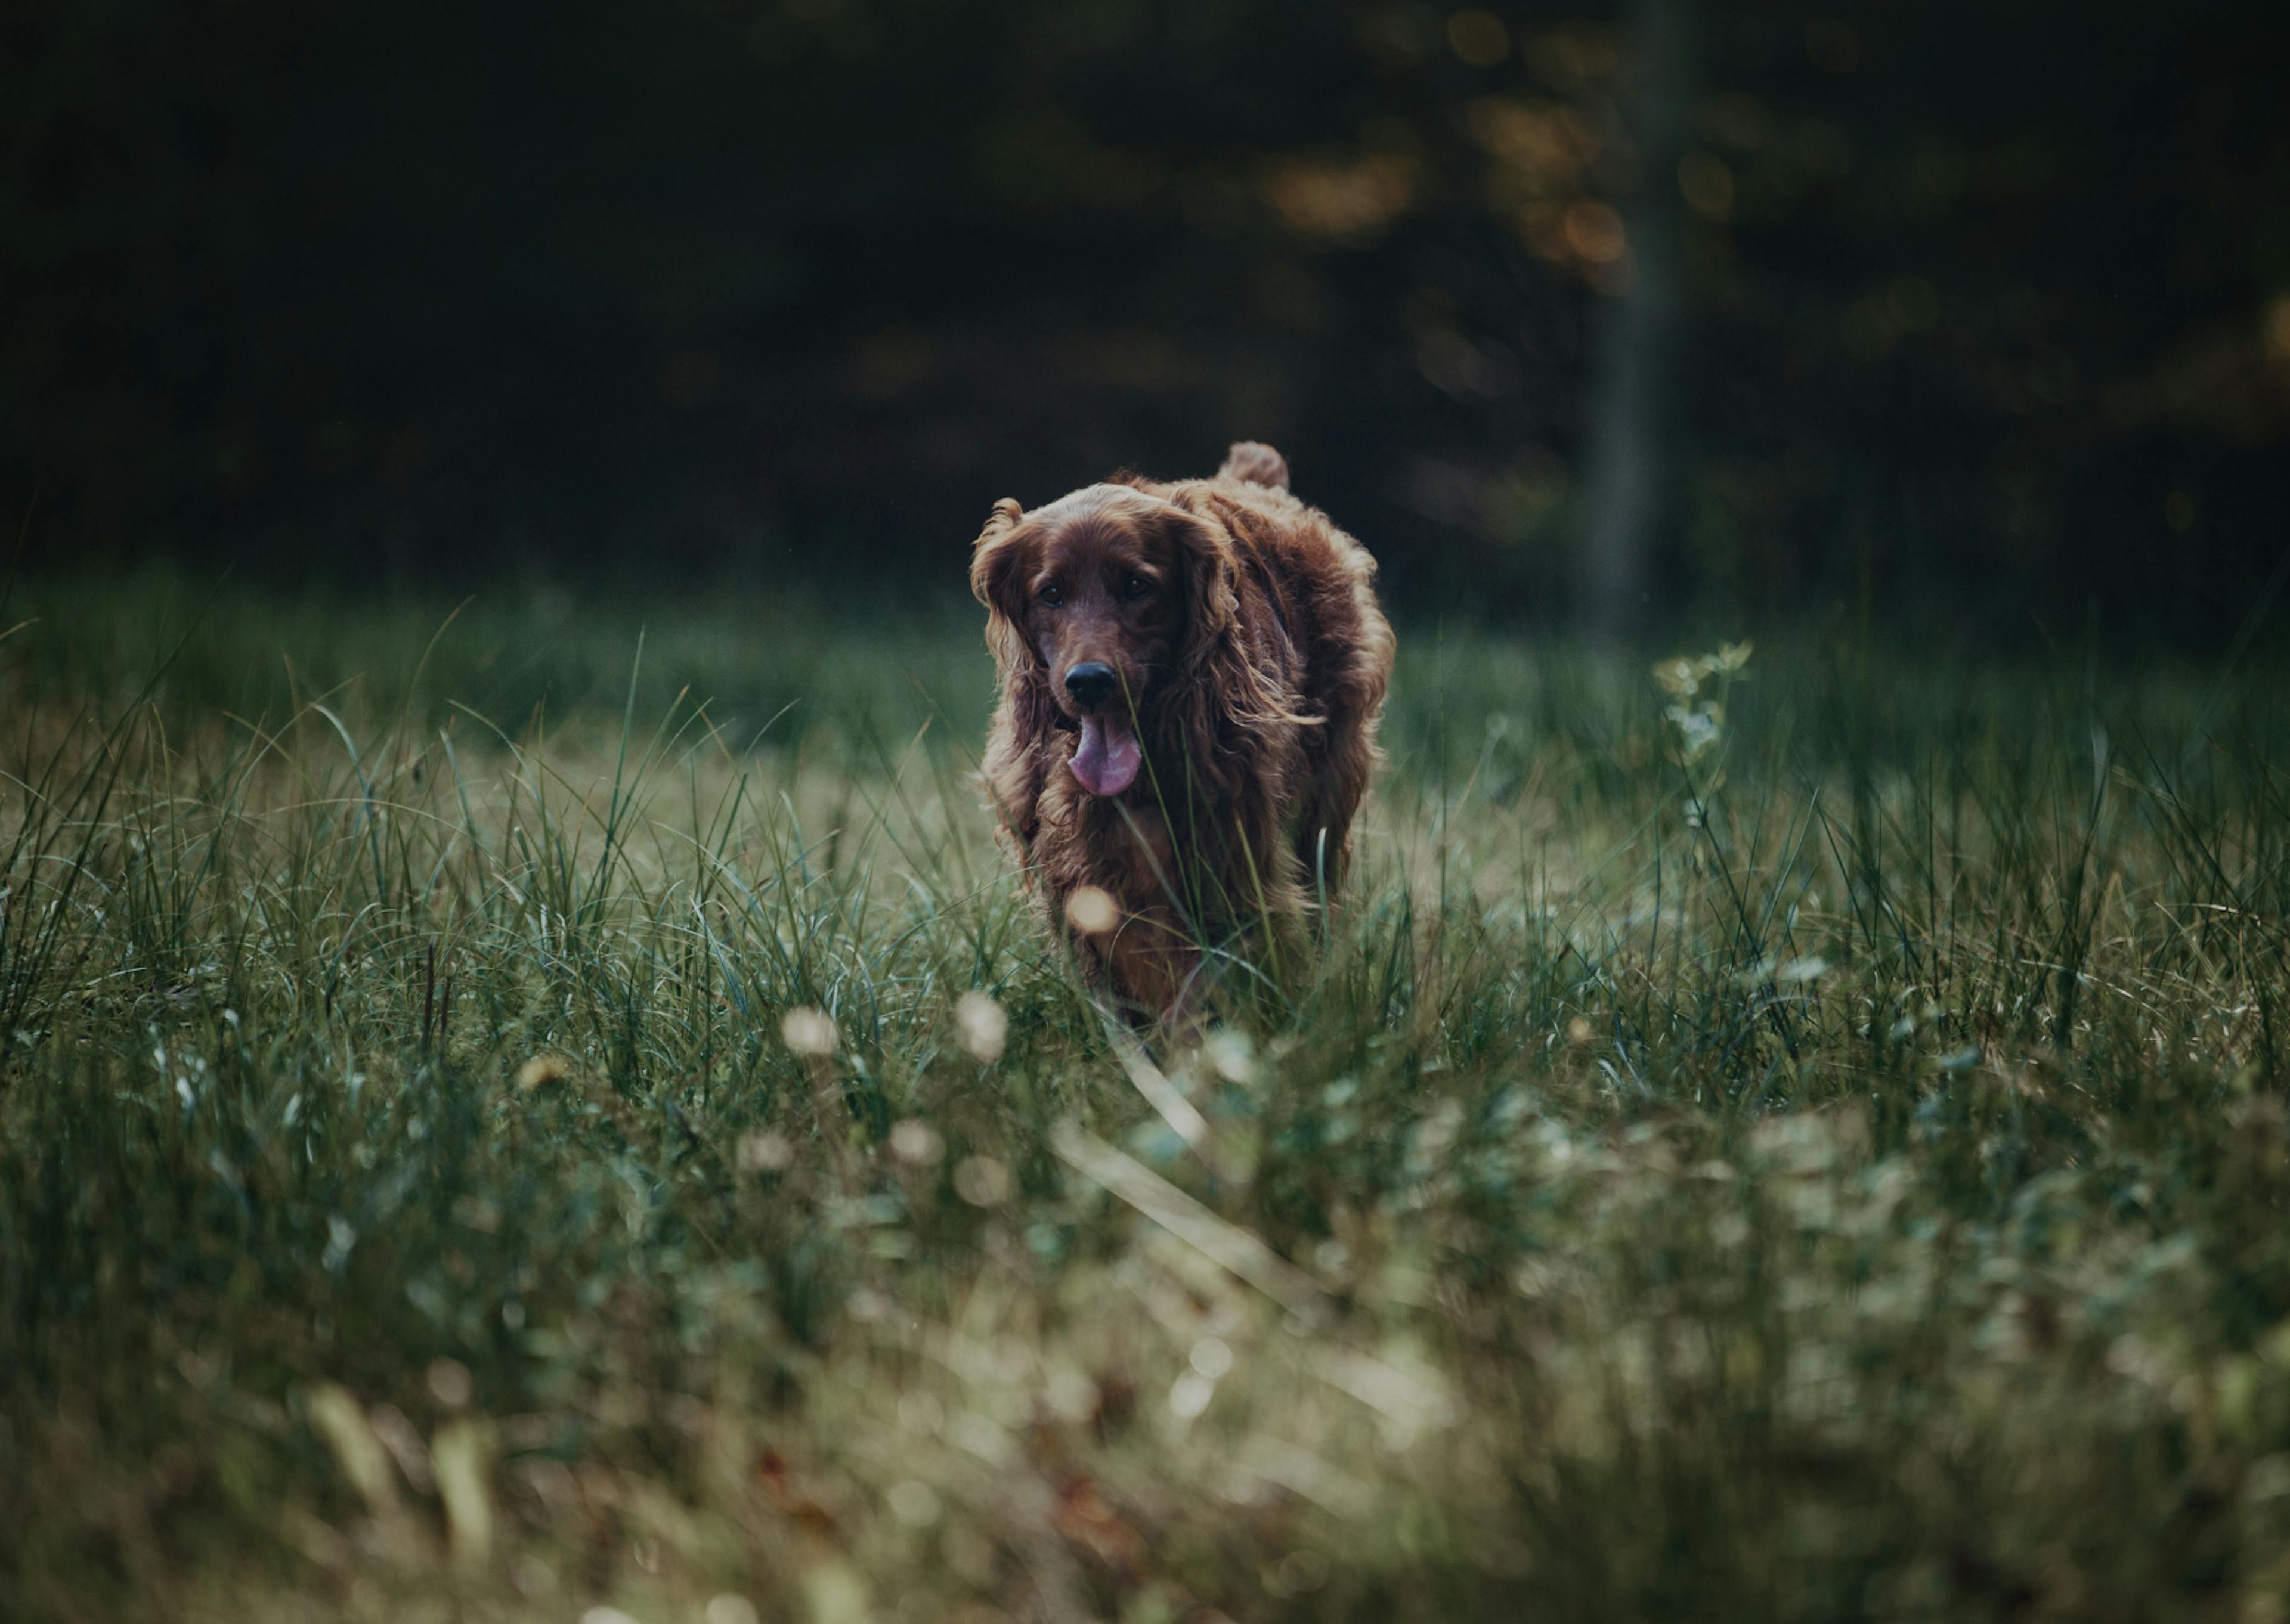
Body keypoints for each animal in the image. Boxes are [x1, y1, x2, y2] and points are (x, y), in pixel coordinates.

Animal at [971, 444, 1392, 1012]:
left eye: (1136, 586)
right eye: (1051, 593)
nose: (1089, 682)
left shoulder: (1234, 851)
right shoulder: (1080, 863)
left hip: (1324, 801)